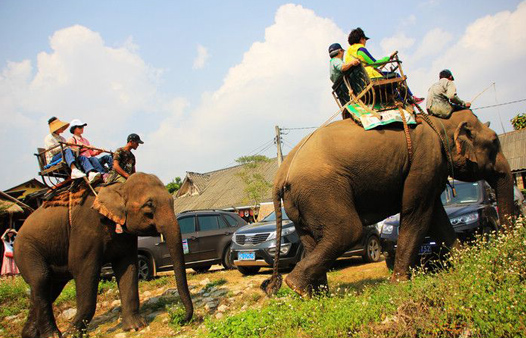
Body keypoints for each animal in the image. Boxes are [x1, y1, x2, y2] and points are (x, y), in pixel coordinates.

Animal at [14, 173, 194, 336]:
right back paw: (52, 335)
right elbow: (82, 268)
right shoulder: (85, 227)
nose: (182, 319)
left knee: (50, 287)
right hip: (25, 249)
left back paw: (29, 334)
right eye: (149, 205)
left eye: (172, 200)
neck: (118, 187)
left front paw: (135, 327)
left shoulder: (126, 235)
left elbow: (127, 267)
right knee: (41, 278)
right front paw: (72, 333)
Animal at [264, 109, 516, 298]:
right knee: (348, 230)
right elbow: (417, 212)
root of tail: (281, 173)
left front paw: (466, 264)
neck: (438, 123)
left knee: (311, 238)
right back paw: (297, 286)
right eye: (494, 141)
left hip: (302, 201)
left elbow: (436, 216)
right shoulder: (426, 160)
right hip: (322, 189)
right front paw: (400, 283)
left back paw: (315, 295)